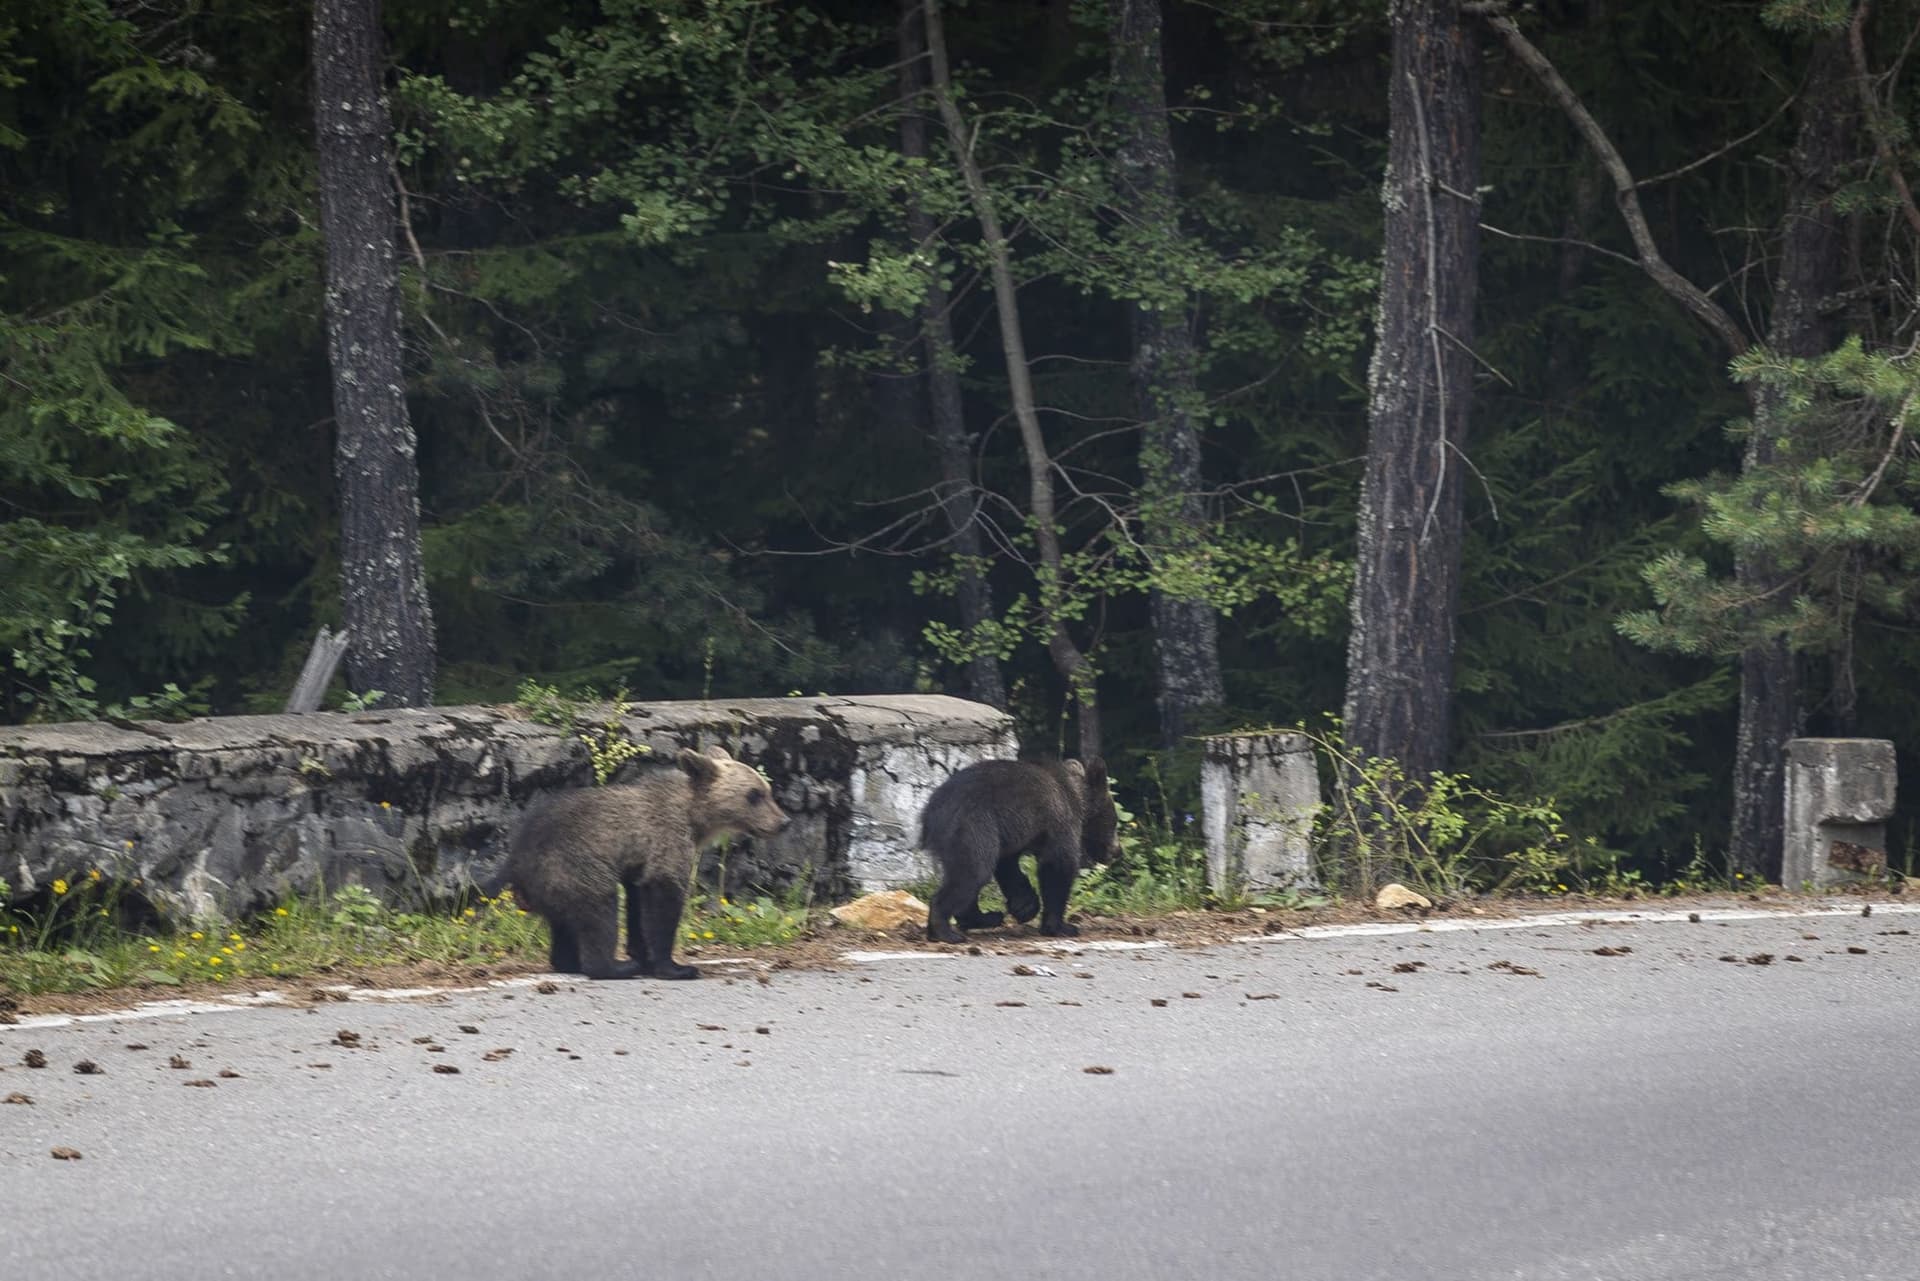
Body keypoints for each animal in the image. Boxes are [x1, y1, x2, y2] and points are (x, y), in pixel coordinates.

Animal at [506, 744, 791, 980]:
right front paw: (675, 967)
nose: (783, 822)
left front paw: (644, 956)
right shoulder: (667, 838)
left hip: (552, 883)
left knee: (565, 923)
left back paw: (569, 962)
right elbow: (663, 898)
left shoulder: (638, 864)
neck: (695, 817)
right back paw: (613, 967)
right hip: (575, 865)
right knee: (599, 911)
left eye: (767, 790)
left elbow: (638, 904)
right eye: (754, 794)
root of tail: (515, 862)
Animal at [919, 757, 1122, 945]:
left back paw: (985, 917)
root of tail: (929, 813)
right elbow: (1058, 866)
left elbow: (1009, 867)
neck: (1077, 798)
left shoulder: (1013, 833)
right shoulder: (1060, 823)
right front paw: (1061, 926)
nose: (1117, 851)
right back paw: (945, 931)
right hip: (971, 826)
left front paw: (1024, 907)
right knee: (972, 873)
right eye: (1114, 821)